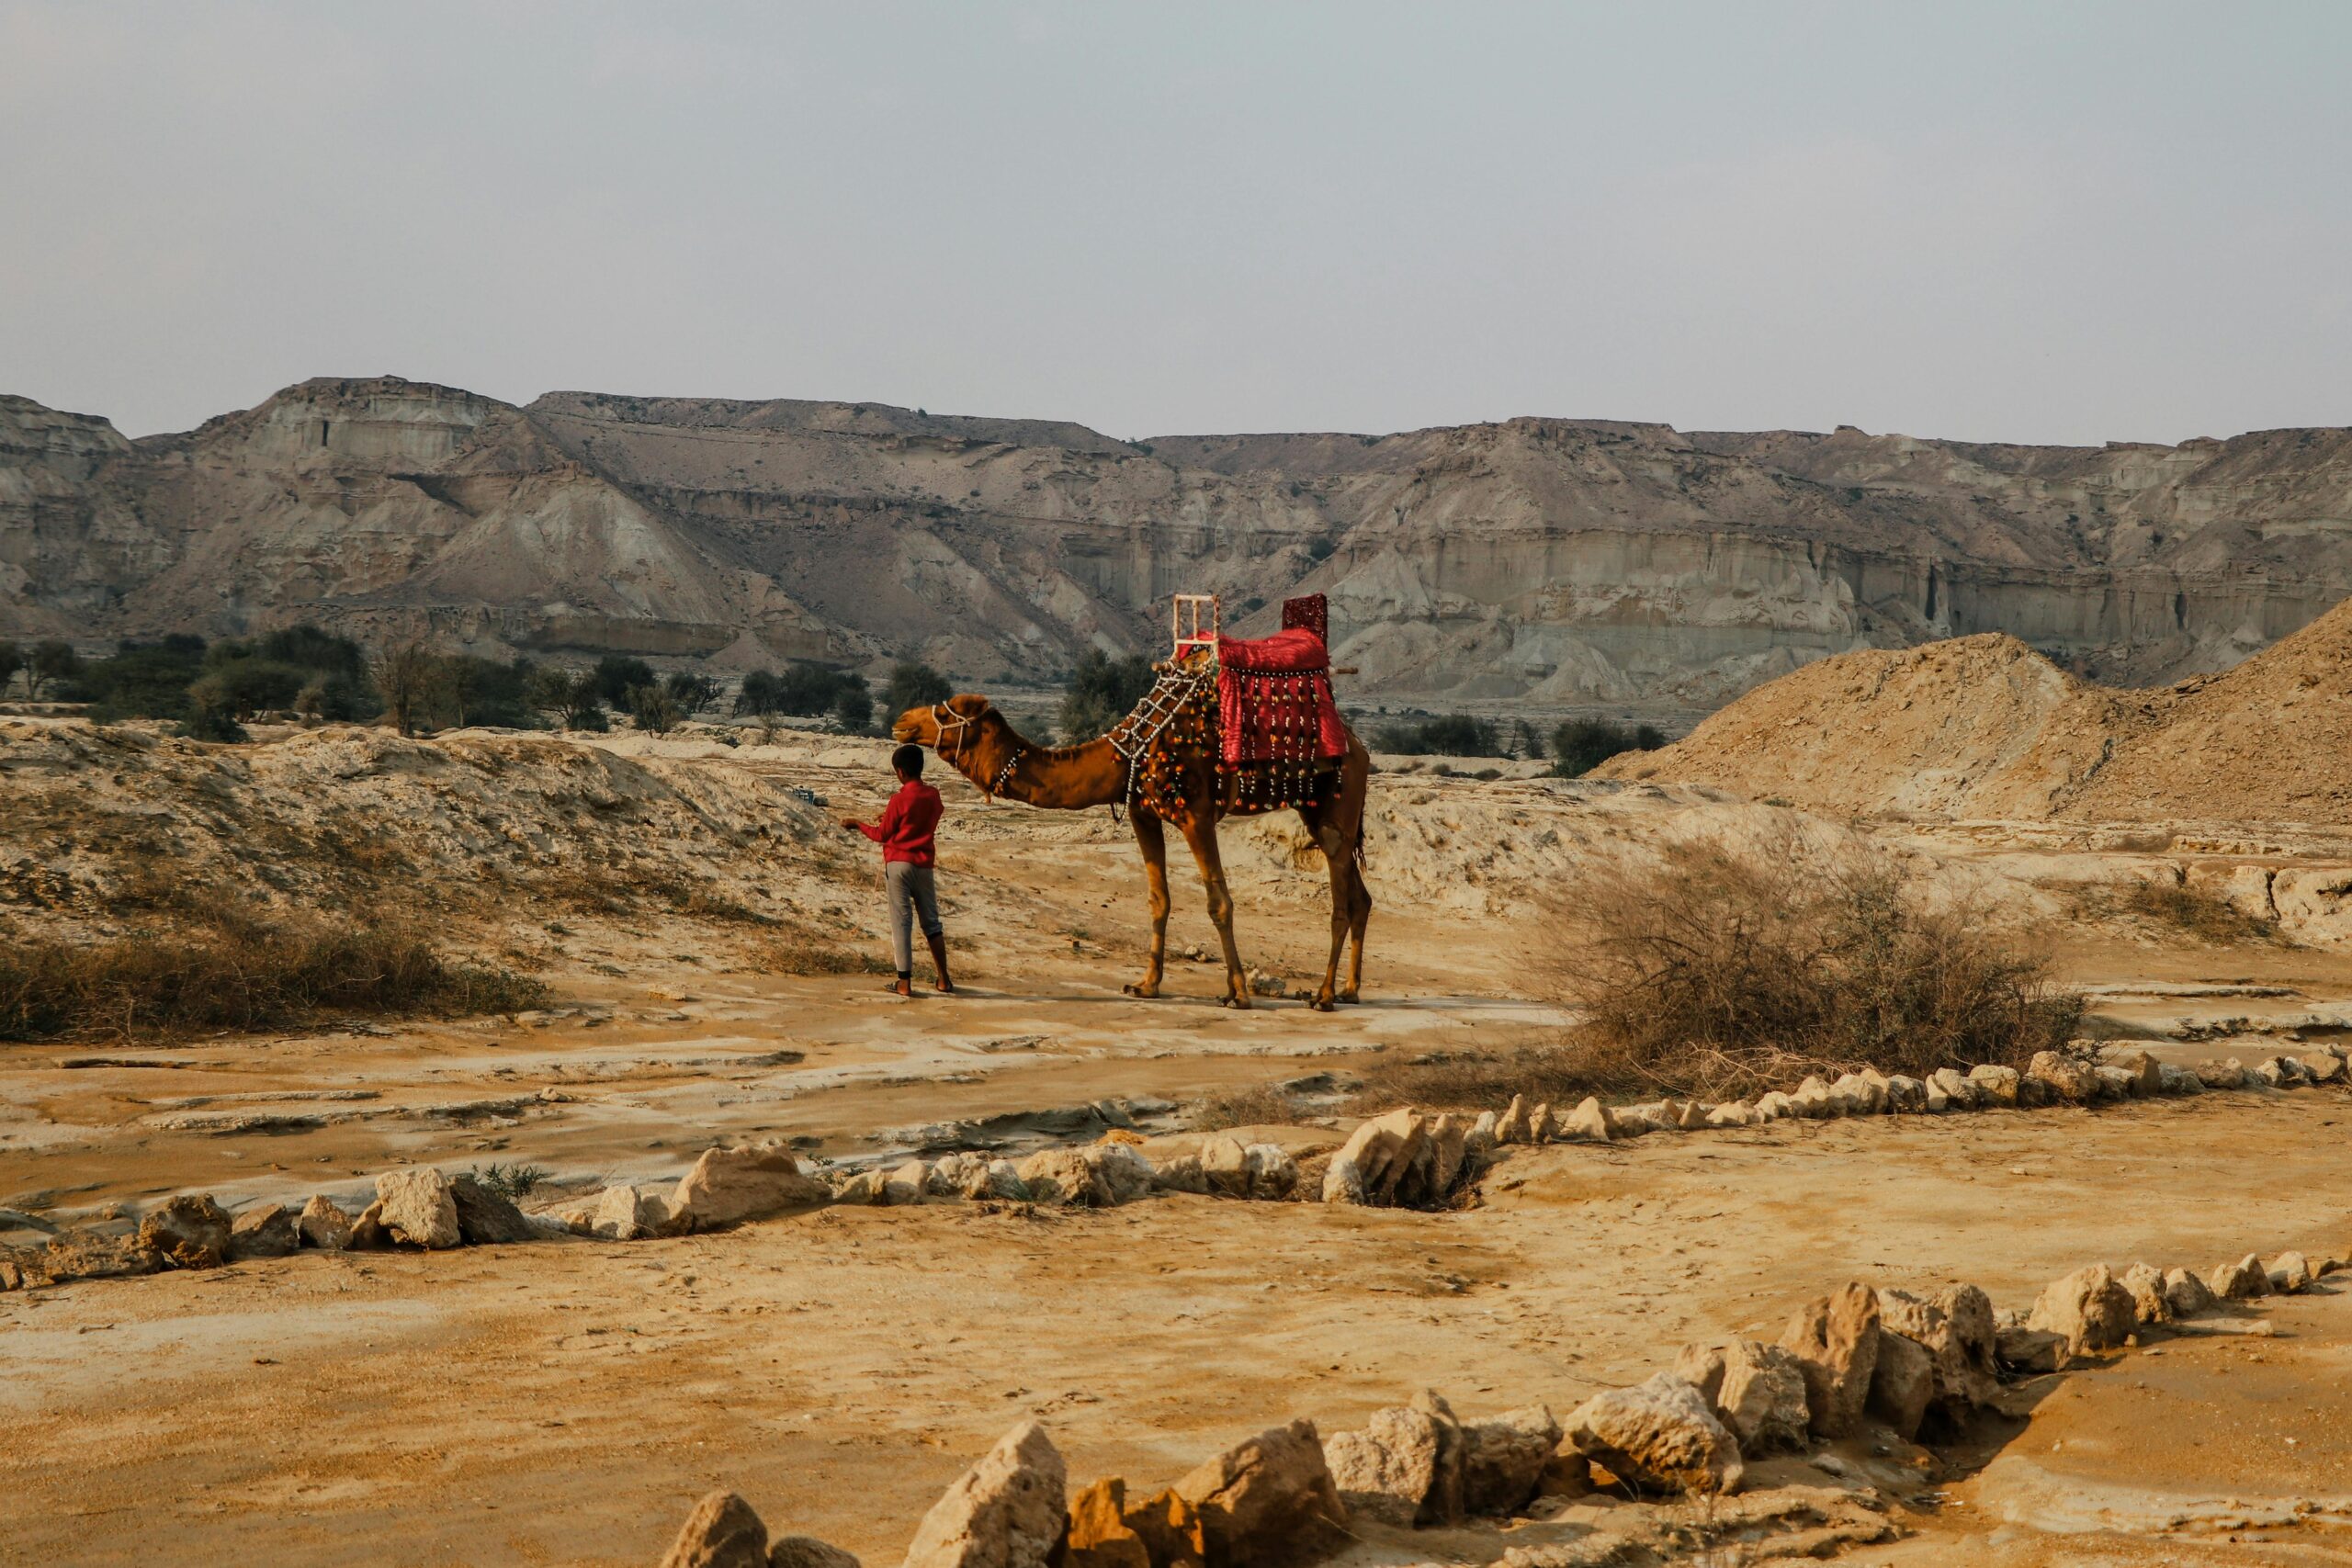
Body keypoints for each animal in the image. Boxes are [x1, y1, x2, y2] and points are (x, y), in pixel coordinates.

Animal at [898, 682, 1374, 1006]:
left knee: (1340, 901)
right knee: (1360, 897)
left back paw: (1323, 995)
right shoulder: (1144, 814)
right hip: (1319, 808)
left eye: (949, 712)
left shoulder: (1196, 814)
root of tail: (1359, 745)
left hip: (1337, 801)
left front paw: (1237, 993)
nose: (903, 721)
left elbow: (1219, 902)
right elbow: (1158, 899)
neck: (1128, 754)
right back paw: (1349, 990)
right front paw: (1146, 985)